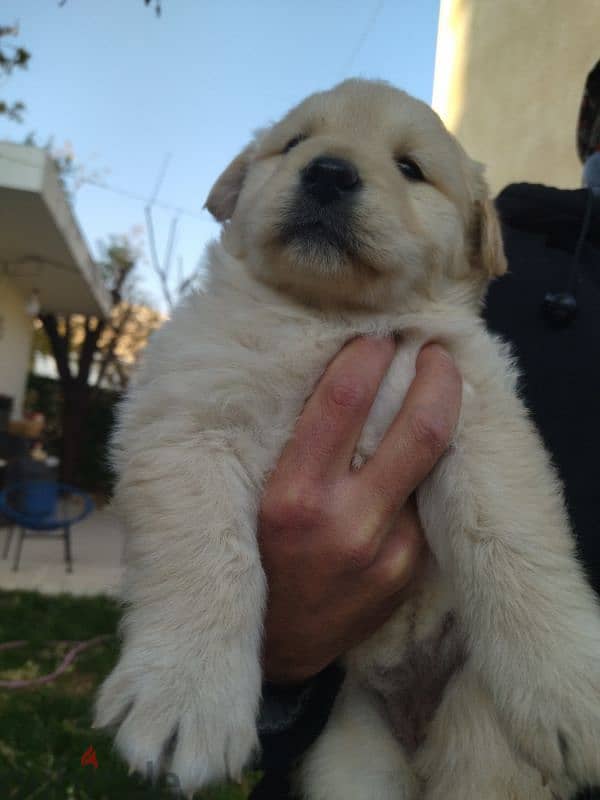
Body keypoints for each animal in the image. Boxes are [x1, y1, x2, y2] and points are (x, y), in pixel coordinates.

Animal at [94, 76, 600, 800]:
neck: (328, 318)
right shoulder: (187, 423)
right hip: (354, 757)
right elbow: (211, 560)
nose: (328, 173)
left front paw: (571, 686)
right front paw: (186, 697)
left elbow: (509, 544)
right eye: (296, 143)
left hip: (481, 742)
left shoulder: (475, 422)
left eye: (410, 168)